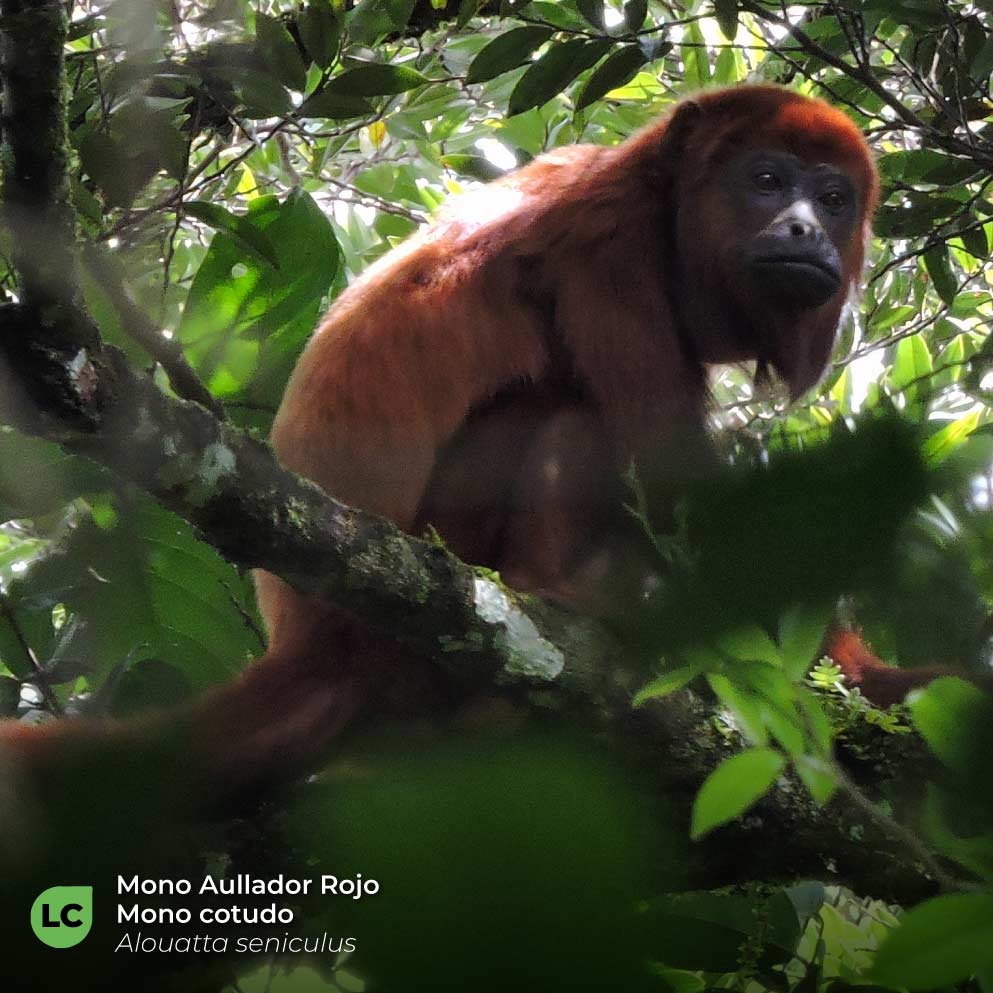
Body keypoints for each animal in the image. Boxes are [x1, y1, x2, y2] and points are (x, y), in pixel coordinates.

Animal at [1, 84, 929, 805]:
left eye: (834, 199)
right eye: (766, 181)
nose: (808, 231)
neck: (654, 199)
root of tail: (313, 640)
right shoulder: (610, 255)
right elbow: (665, 479)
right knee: (564, 413)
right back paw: (557, 596)